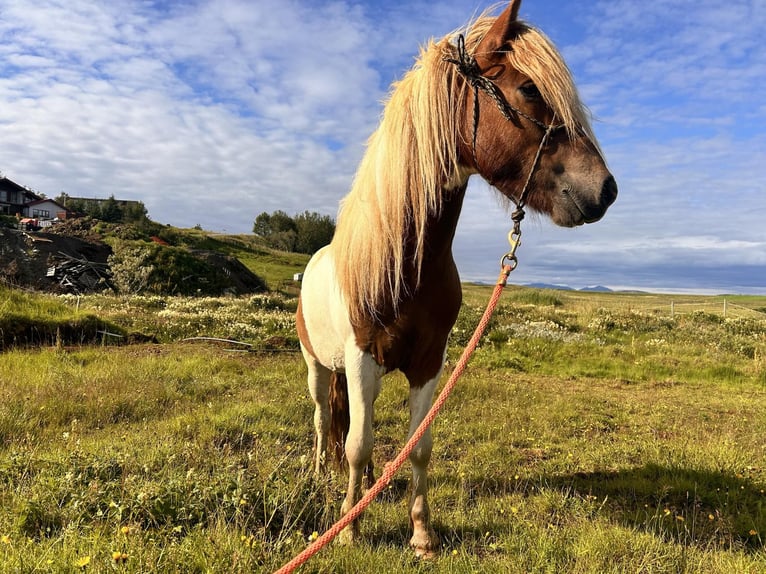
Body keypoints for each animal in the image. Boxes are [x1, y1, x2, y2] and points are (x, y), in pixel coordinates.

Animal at [294, 0, 616, 560]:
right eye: (529, 89)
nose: (605, 190)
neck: (406, 265)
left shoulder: (429, 363)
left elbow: (418, 447)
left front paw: (422, 534)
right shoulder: (360, 359)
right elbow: (355, 443)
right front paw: (350, 530)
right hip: (319, 365)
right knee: (322, 418)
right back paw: (320, 473)